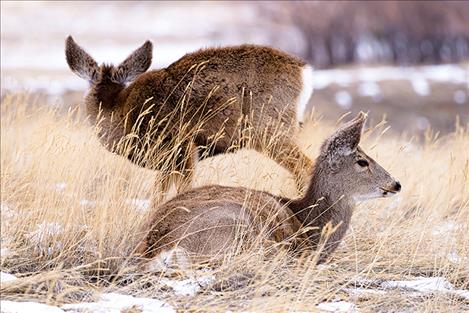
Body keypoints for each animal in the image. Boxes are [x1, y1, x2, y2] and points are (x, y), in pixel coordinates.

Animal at [64, 36, 314, 197]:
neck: (121, 112)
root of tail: (304, 71)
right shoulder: (165, 163)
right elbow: (157, 196)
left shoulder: (182, 146)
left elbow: (183, 190)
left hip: (270, 128)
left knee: (306, 166)